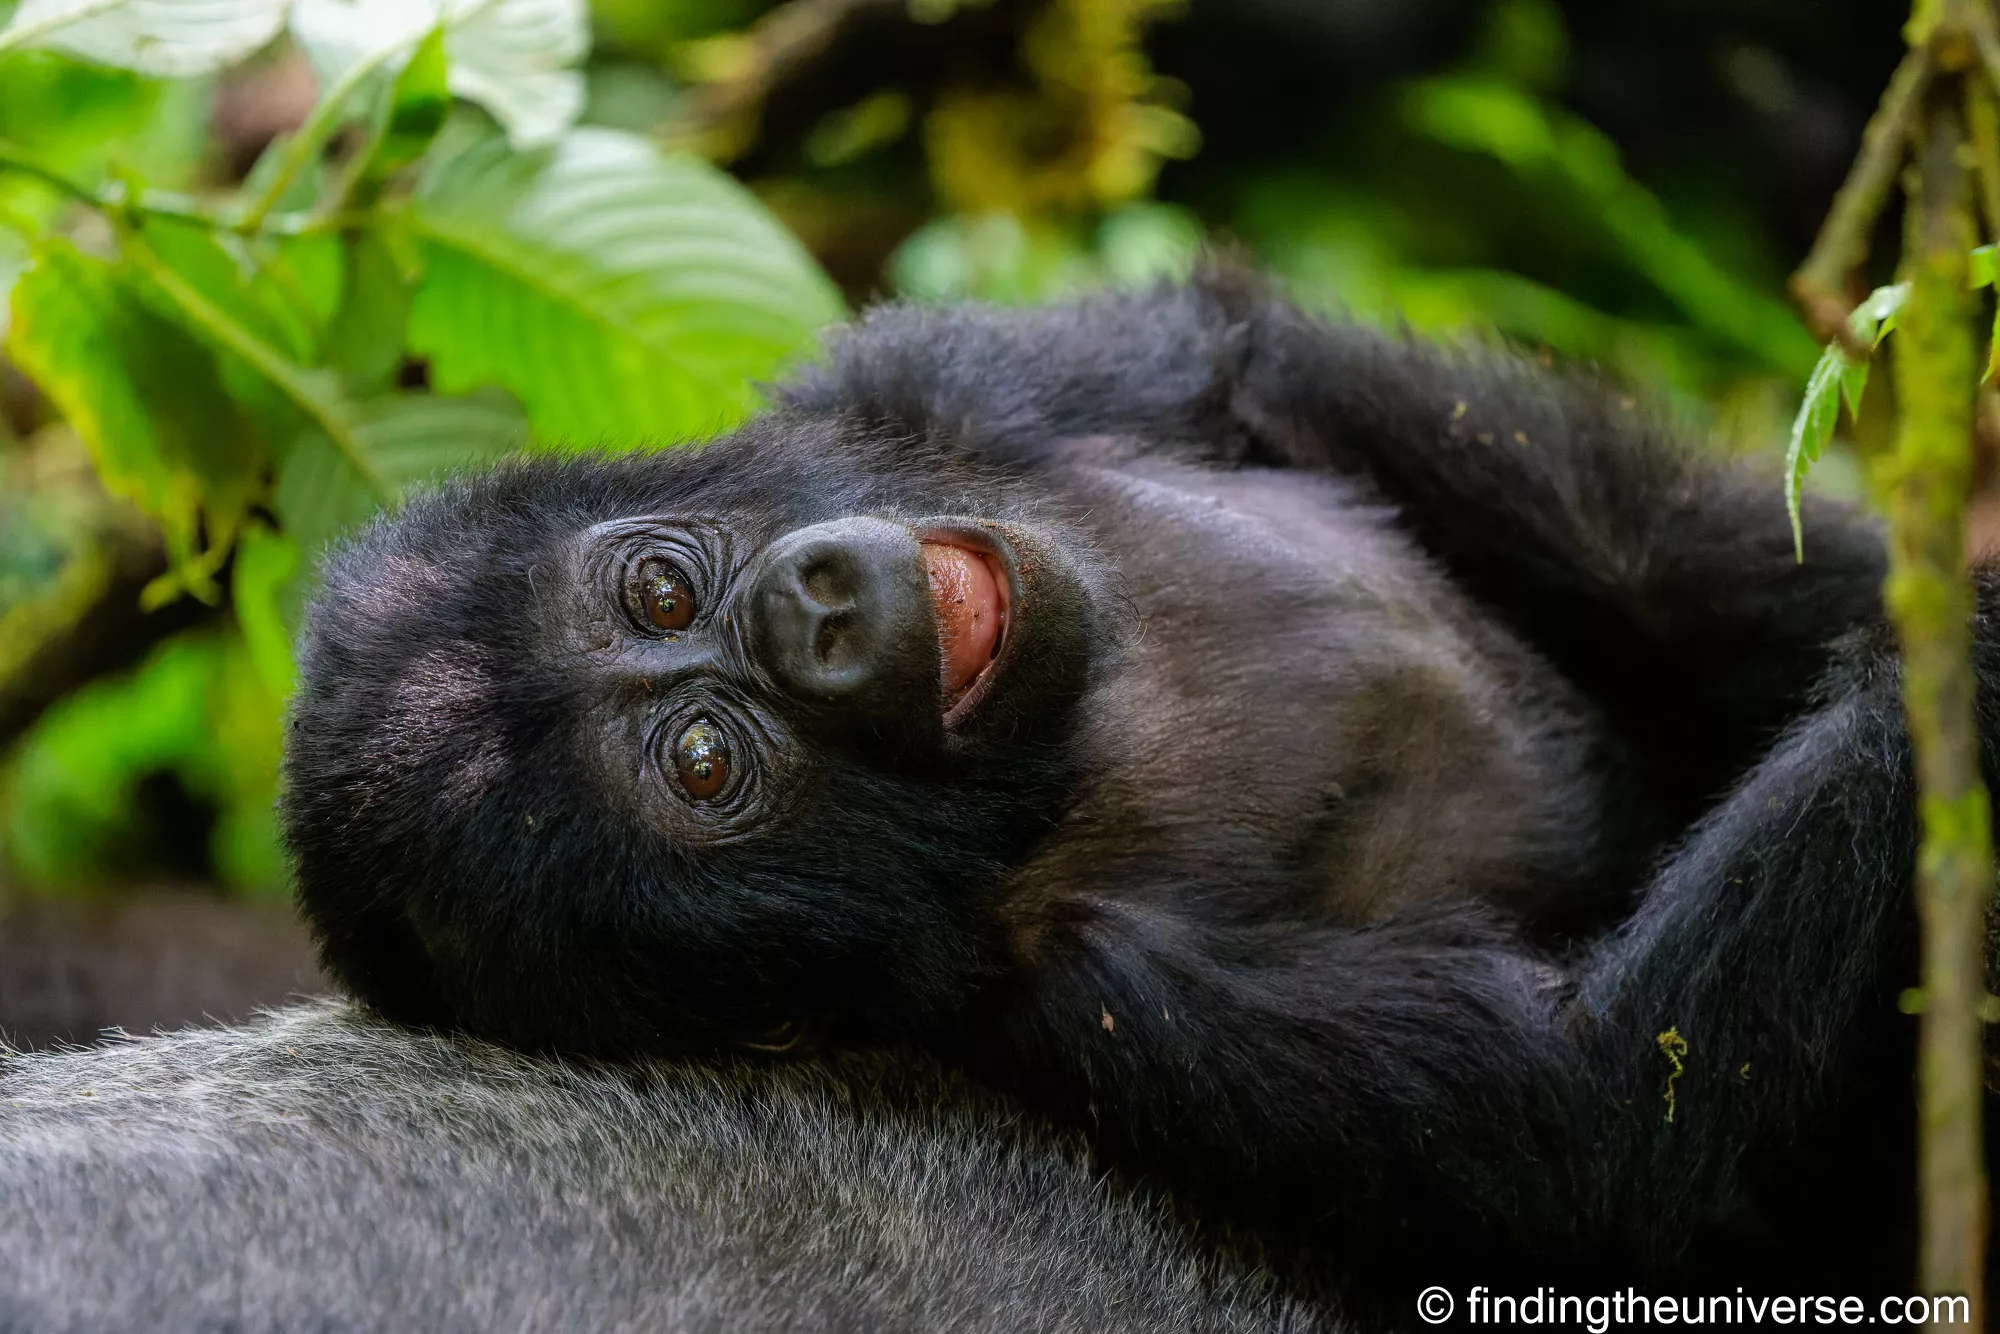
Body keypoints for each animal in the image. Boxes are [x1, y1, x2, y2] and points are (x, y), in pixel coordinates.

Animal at [281, 269, 1958, 1291]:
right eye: (703, 762)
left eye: (659, 587)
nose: (809, 608)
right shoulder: (1107, 1005)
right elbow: (1611, 1102)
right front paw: (1966, 667)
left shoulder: (938, 385)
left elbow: (1283, 370)